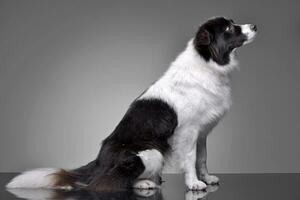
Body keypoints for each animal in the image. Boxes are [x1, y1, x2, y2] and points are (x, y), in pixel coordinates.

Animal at [5, 17, 256, 192]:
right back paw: (145, 183)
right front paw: (194, 183)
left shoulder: (202, 131)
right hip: (150, 152)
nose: (254, 26)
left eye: (232, 23)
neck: (208, 62)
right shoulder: (187, 132)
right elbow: (190, 158)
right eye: (228, 29)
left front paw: (207, 178)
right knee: (106, 182)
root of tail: (98, 163)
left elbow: (202, 158)